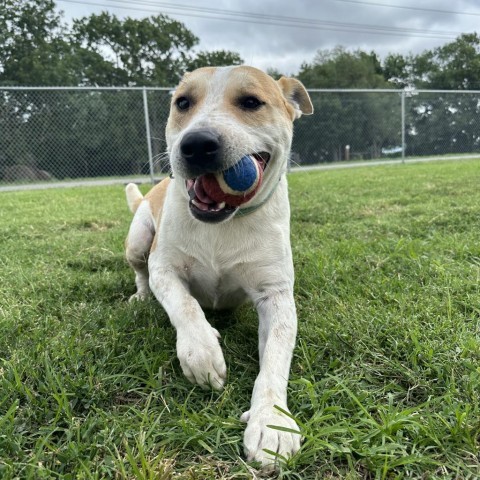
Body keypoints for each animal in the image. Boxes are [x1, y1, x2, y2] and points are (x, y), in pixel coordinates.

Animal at [124, 64, 314, 468]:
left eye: (251, 102)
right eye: (182, 103)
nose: (196, 144)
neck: (223, 224)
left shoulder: (275, 296)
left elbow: (275, 359)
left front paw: (272, 422)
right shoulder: (164, 267)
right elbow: (184, 305)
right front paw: (202, 354)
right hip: (138, 239)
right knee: (140, 272)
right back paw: (141, 297)